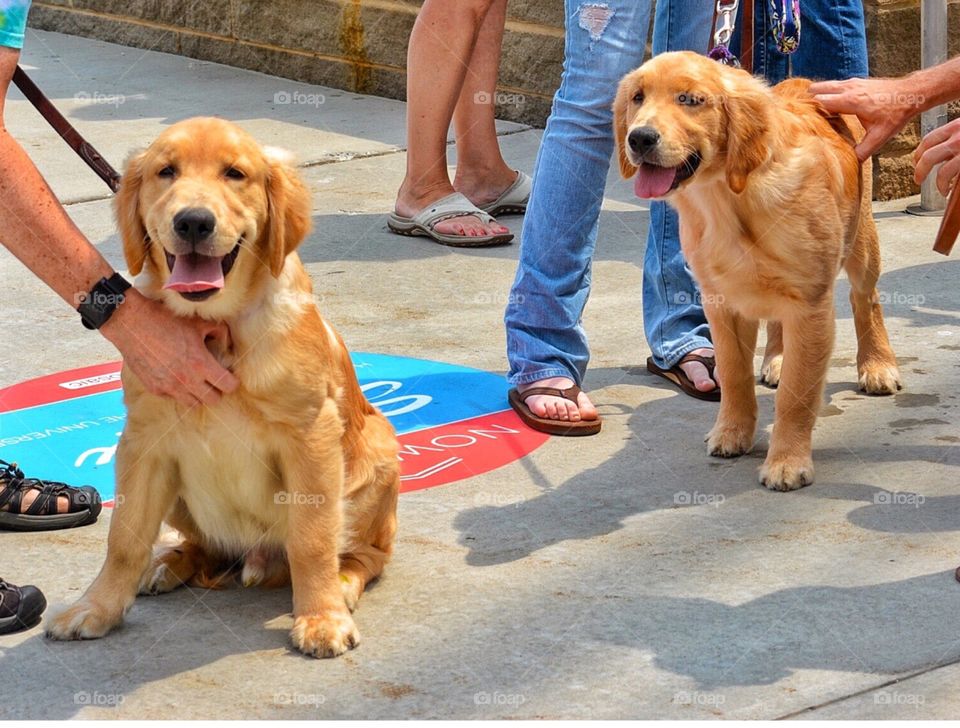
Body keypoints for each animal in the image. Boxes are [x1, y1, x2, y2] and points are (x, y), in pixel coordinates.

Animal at [47, 116, 400, 656]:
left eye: (235, 174)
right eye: (166, 172)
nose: (193, 222)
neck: (216, 326)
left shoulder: (311, 437)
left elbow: (313, 538)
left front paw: (321, 617)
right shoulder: (143, 442)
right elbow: (124, 537)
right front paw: (97, 607)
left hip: (378, 457)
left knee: (369, 554)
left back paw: (342, 583)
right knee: (204, 548)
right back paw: (170, 562)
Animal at [616, 54, 900, 492]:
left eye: (690, 99)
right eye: (637, 97)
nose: (639, 139)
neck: (727, 197)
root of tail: (805, 82)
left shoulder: (811, 306)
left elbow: (797, 395)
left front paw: (786, 461)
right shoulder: (722, 303)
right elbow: (734, 376)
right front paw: (731, 432)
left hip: (862, 241)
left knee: (864, 299)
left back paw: (877, 364)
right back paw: (778, 359)